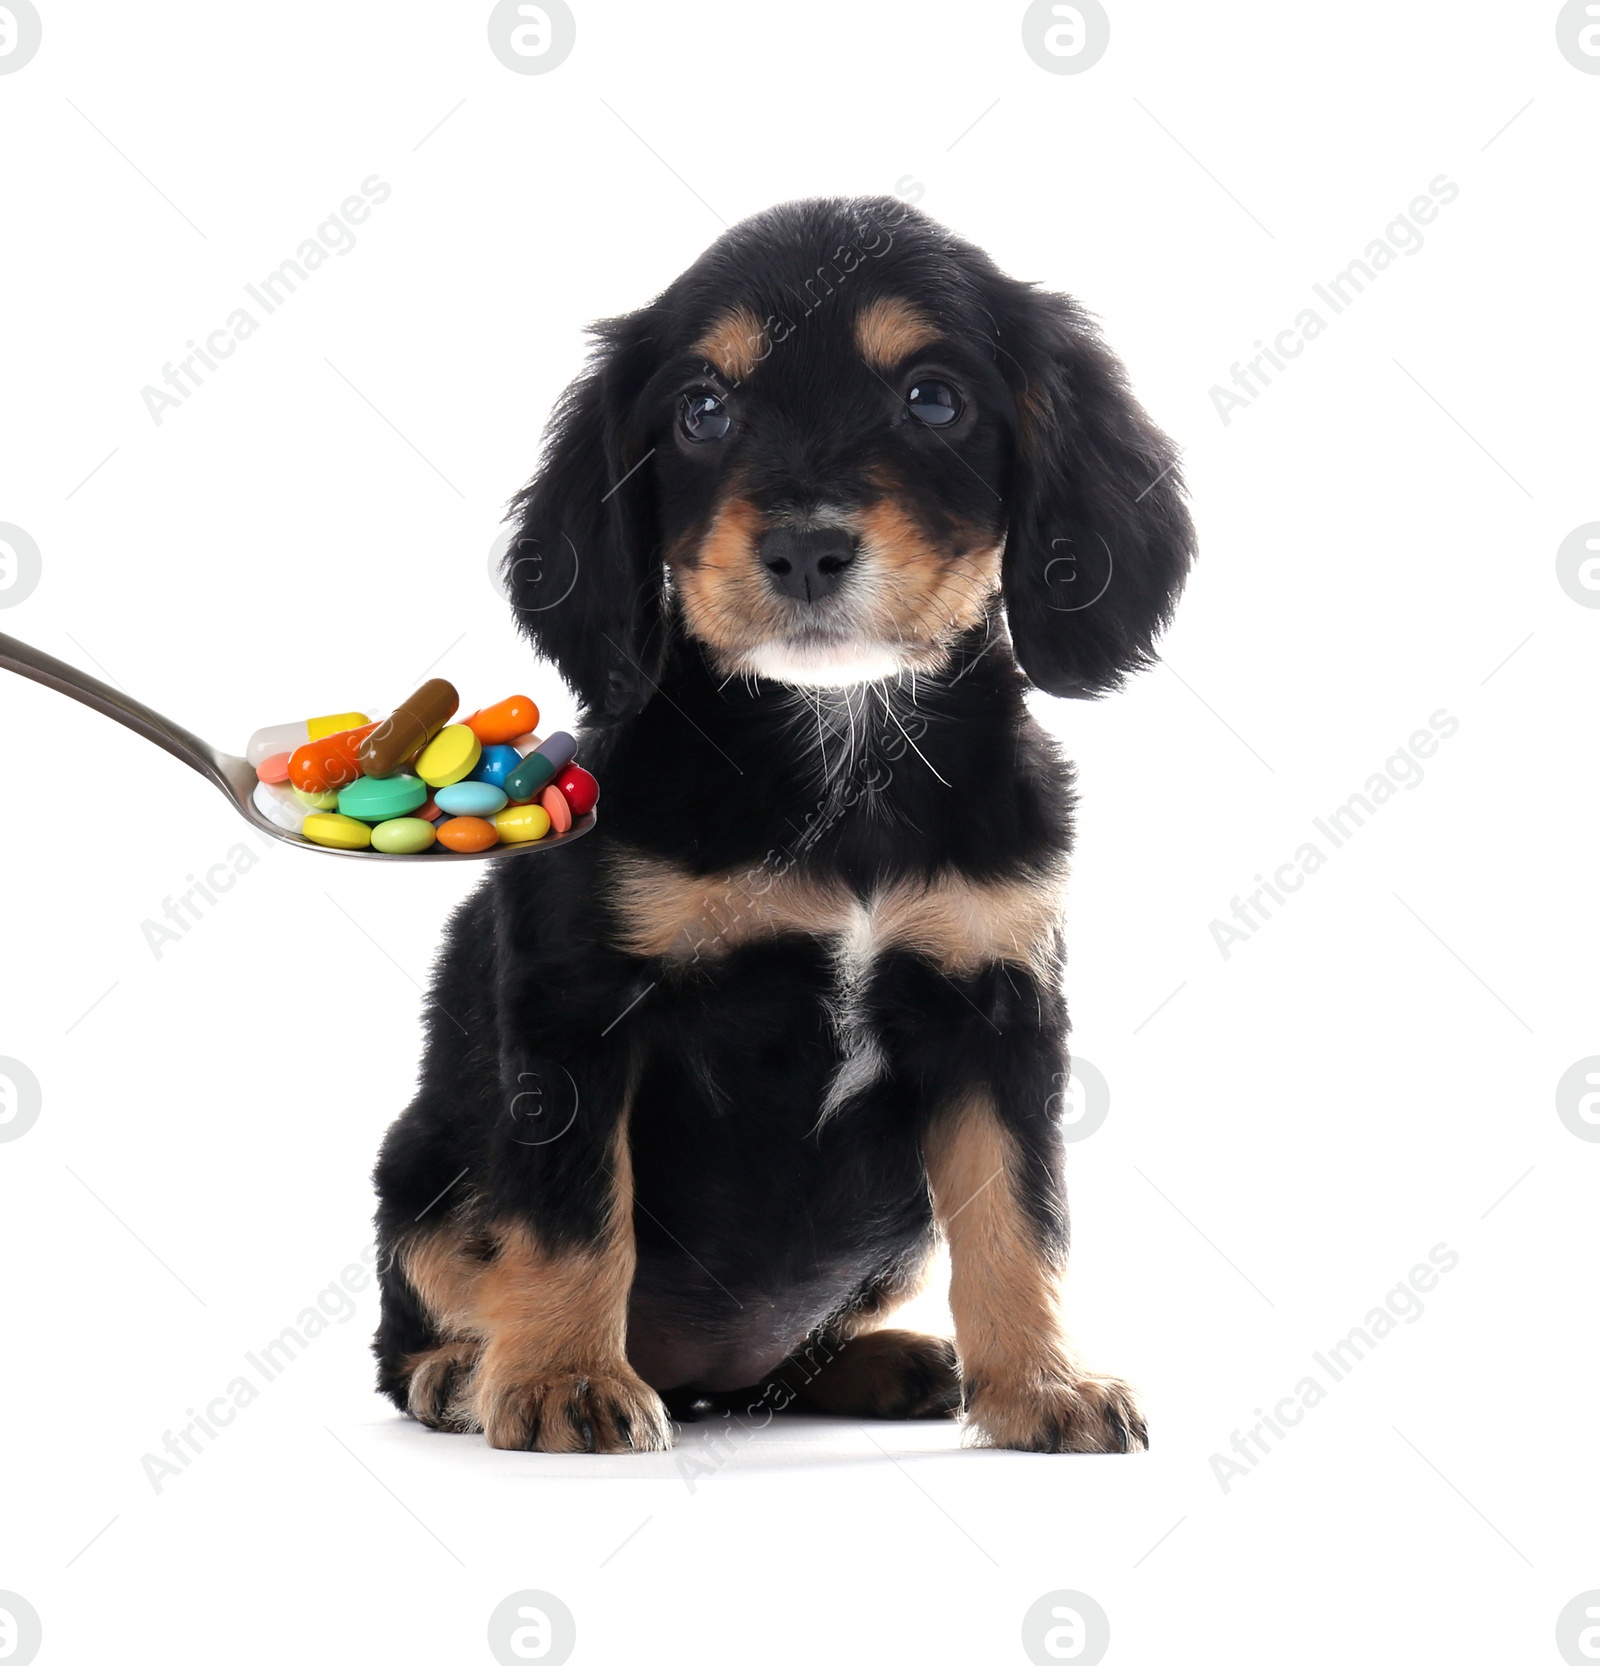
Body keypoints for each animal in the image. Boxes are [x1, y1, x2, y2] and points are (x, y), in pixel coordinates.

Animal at [375, 194, 1193, 1452]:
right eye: (703, 410)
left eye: (933, 398)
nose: (806, 550)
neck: (836, 751)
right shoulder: (576, 1010)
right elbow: (570, 1217)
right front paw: (563, 1378)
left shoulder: (999, 1004)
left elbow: (1019, 1216)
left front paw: (1044, 1385)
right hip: (423, 1166)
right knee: (426, 1299)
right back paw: (467, 1370)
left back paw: (890, 1360)